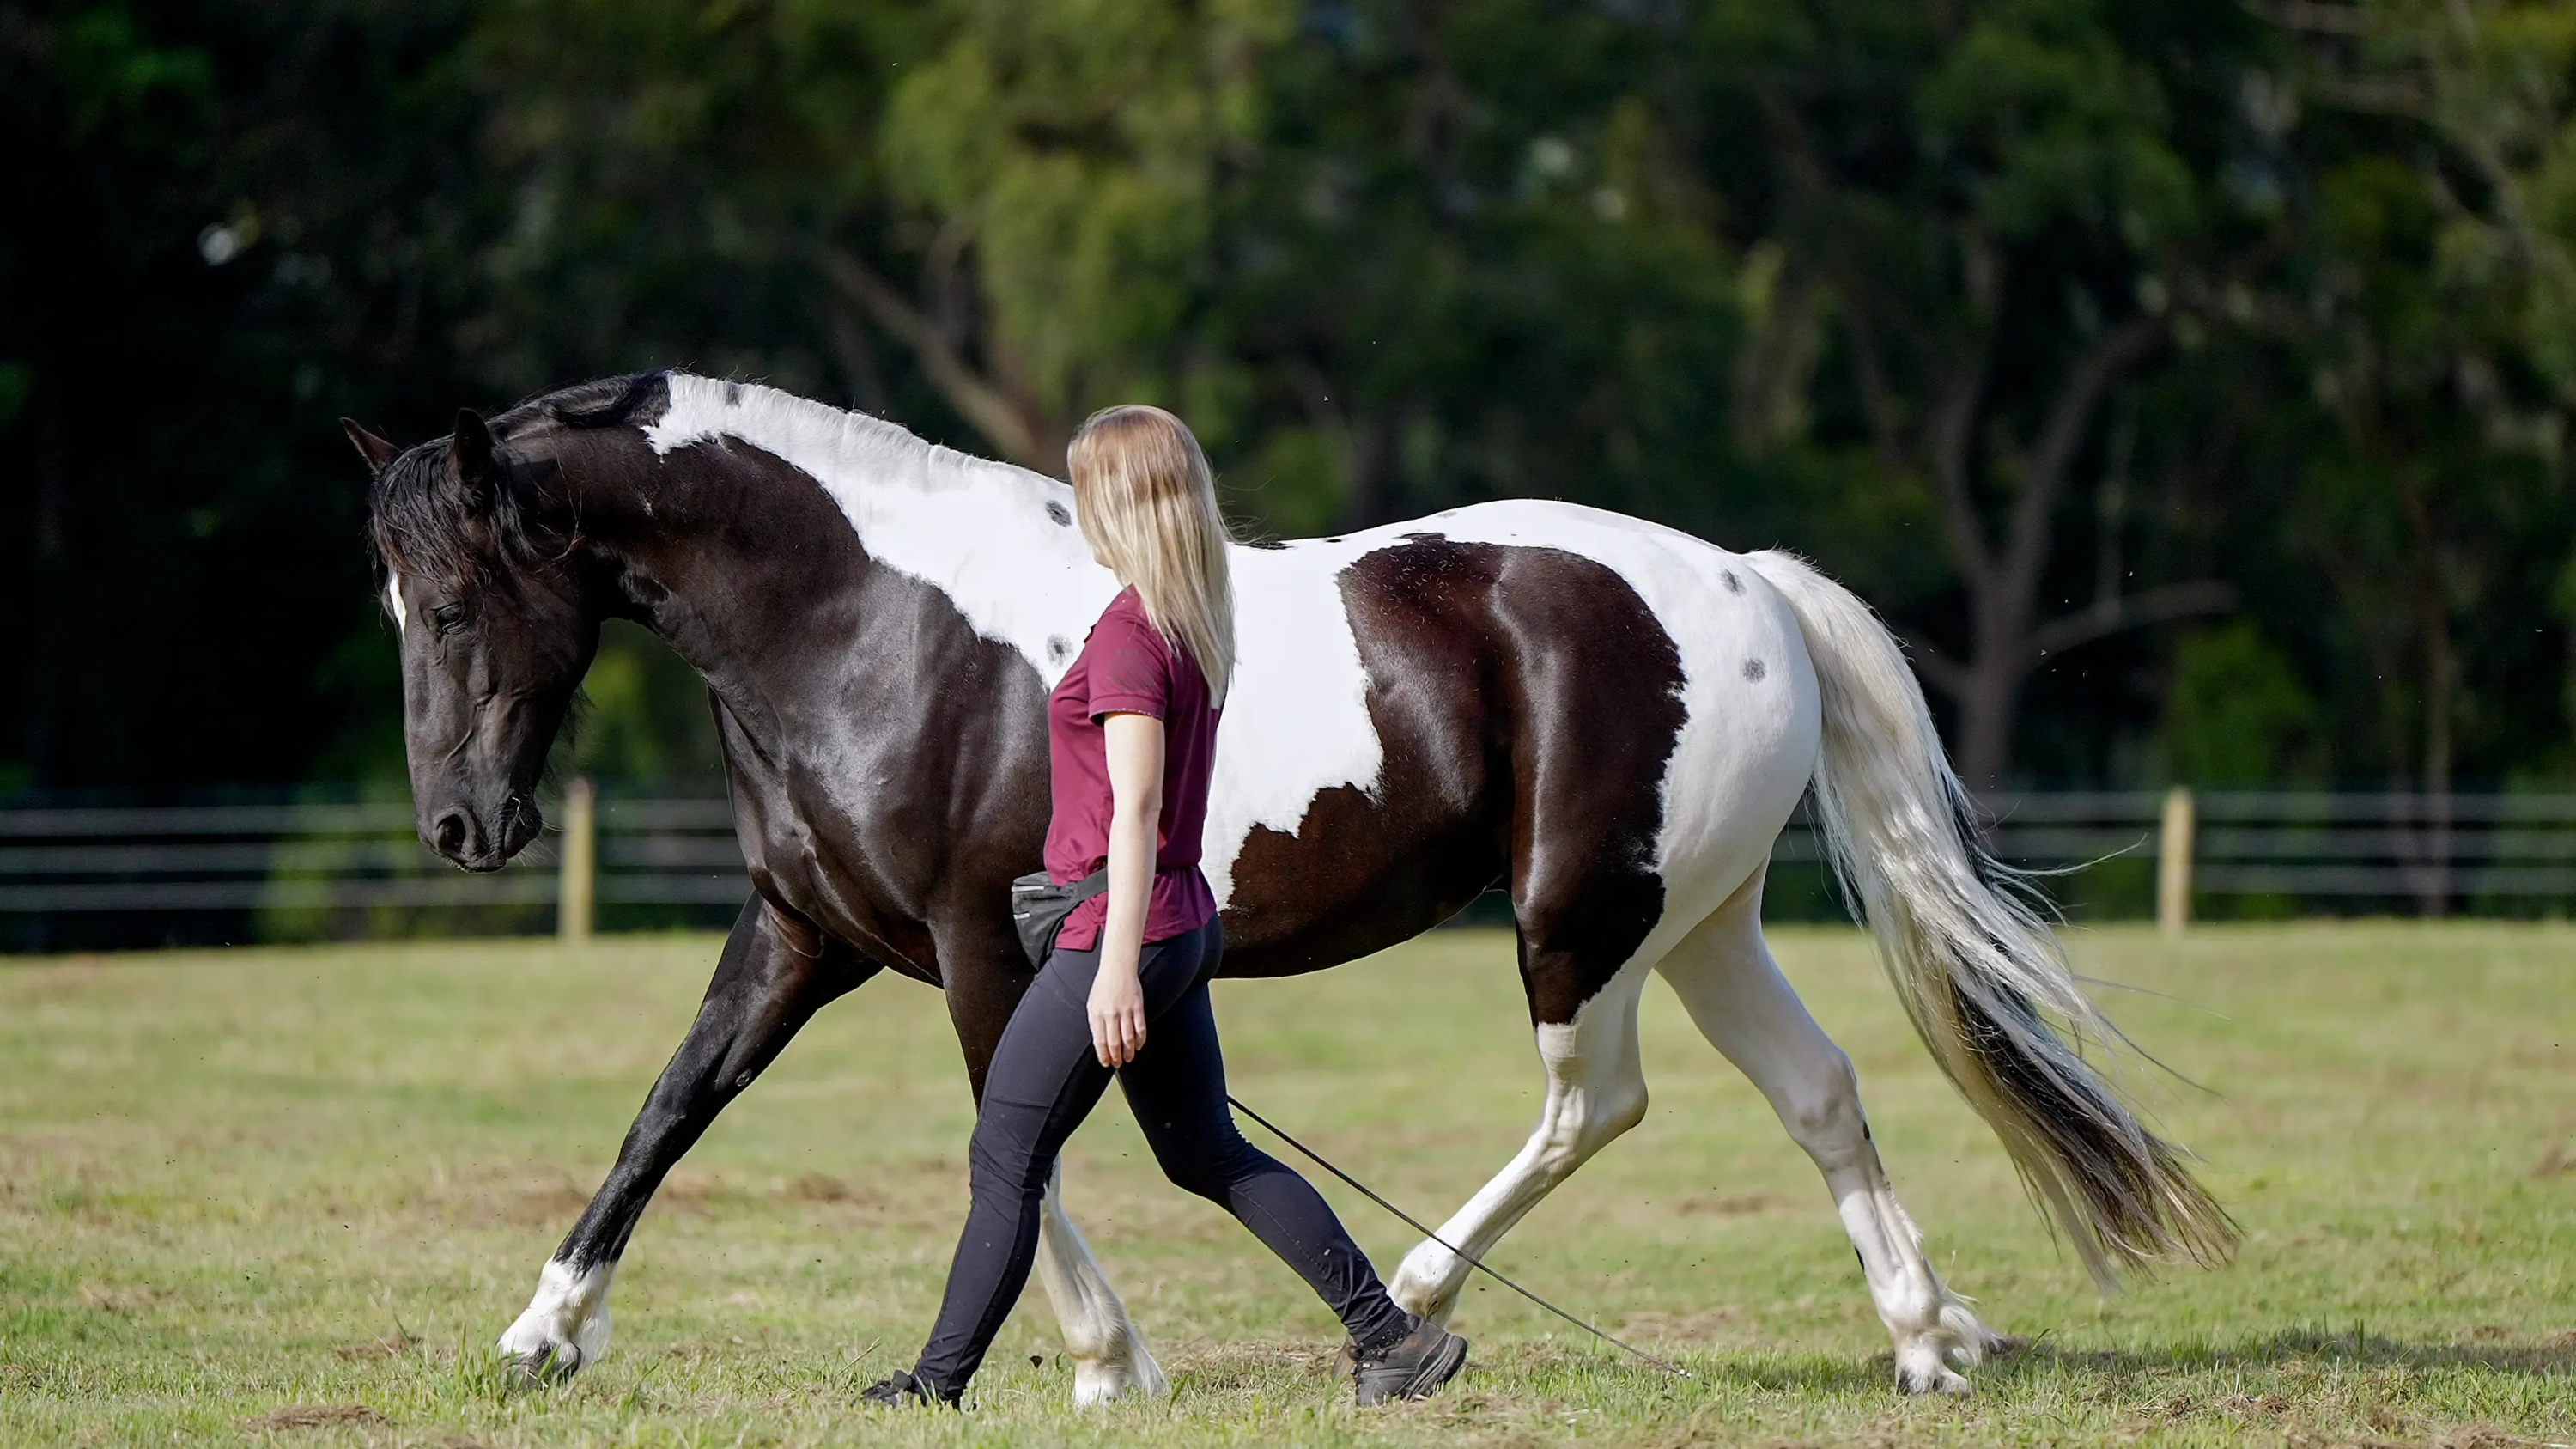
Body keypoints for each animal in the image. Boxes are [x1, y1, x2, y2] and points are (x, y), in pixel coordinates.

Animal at [348, 371, 2232, 1403]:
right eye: (393, 604)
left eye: (453, 599)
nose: (459, 829)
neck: (873, 620)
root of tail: (1745, 584)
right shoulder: (802, 934)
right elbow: (670, 1112)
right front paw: (543, 1333)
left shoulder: (976, 948)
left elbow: (1014, 1148)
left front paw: (1102, 1358)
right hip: (1701, 920)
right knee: (1821, 1091)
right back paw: (1927, 1338)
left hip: (1580, 924)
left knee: (1597, 1101)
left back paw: (1417, 1299)